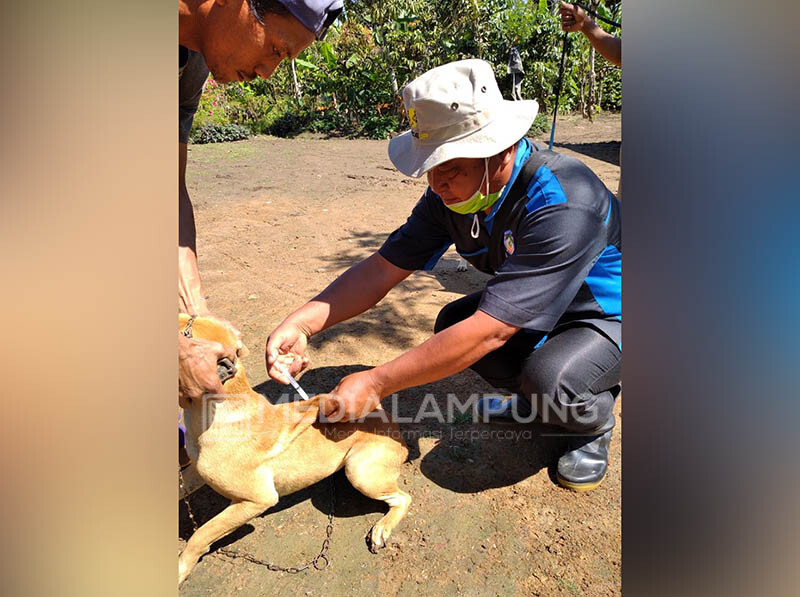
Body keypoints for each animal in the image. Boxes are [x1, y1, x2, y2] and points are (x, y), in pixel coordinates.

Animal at [177, 314, 410, 584]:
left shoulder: (257, 499)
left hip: (360, 471)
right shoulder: (193, 472)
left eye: (184, 332)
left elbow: (201, 534)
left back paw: (382, 529)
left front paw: (181, 568)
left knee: (403, 498)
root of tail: (394, 427)